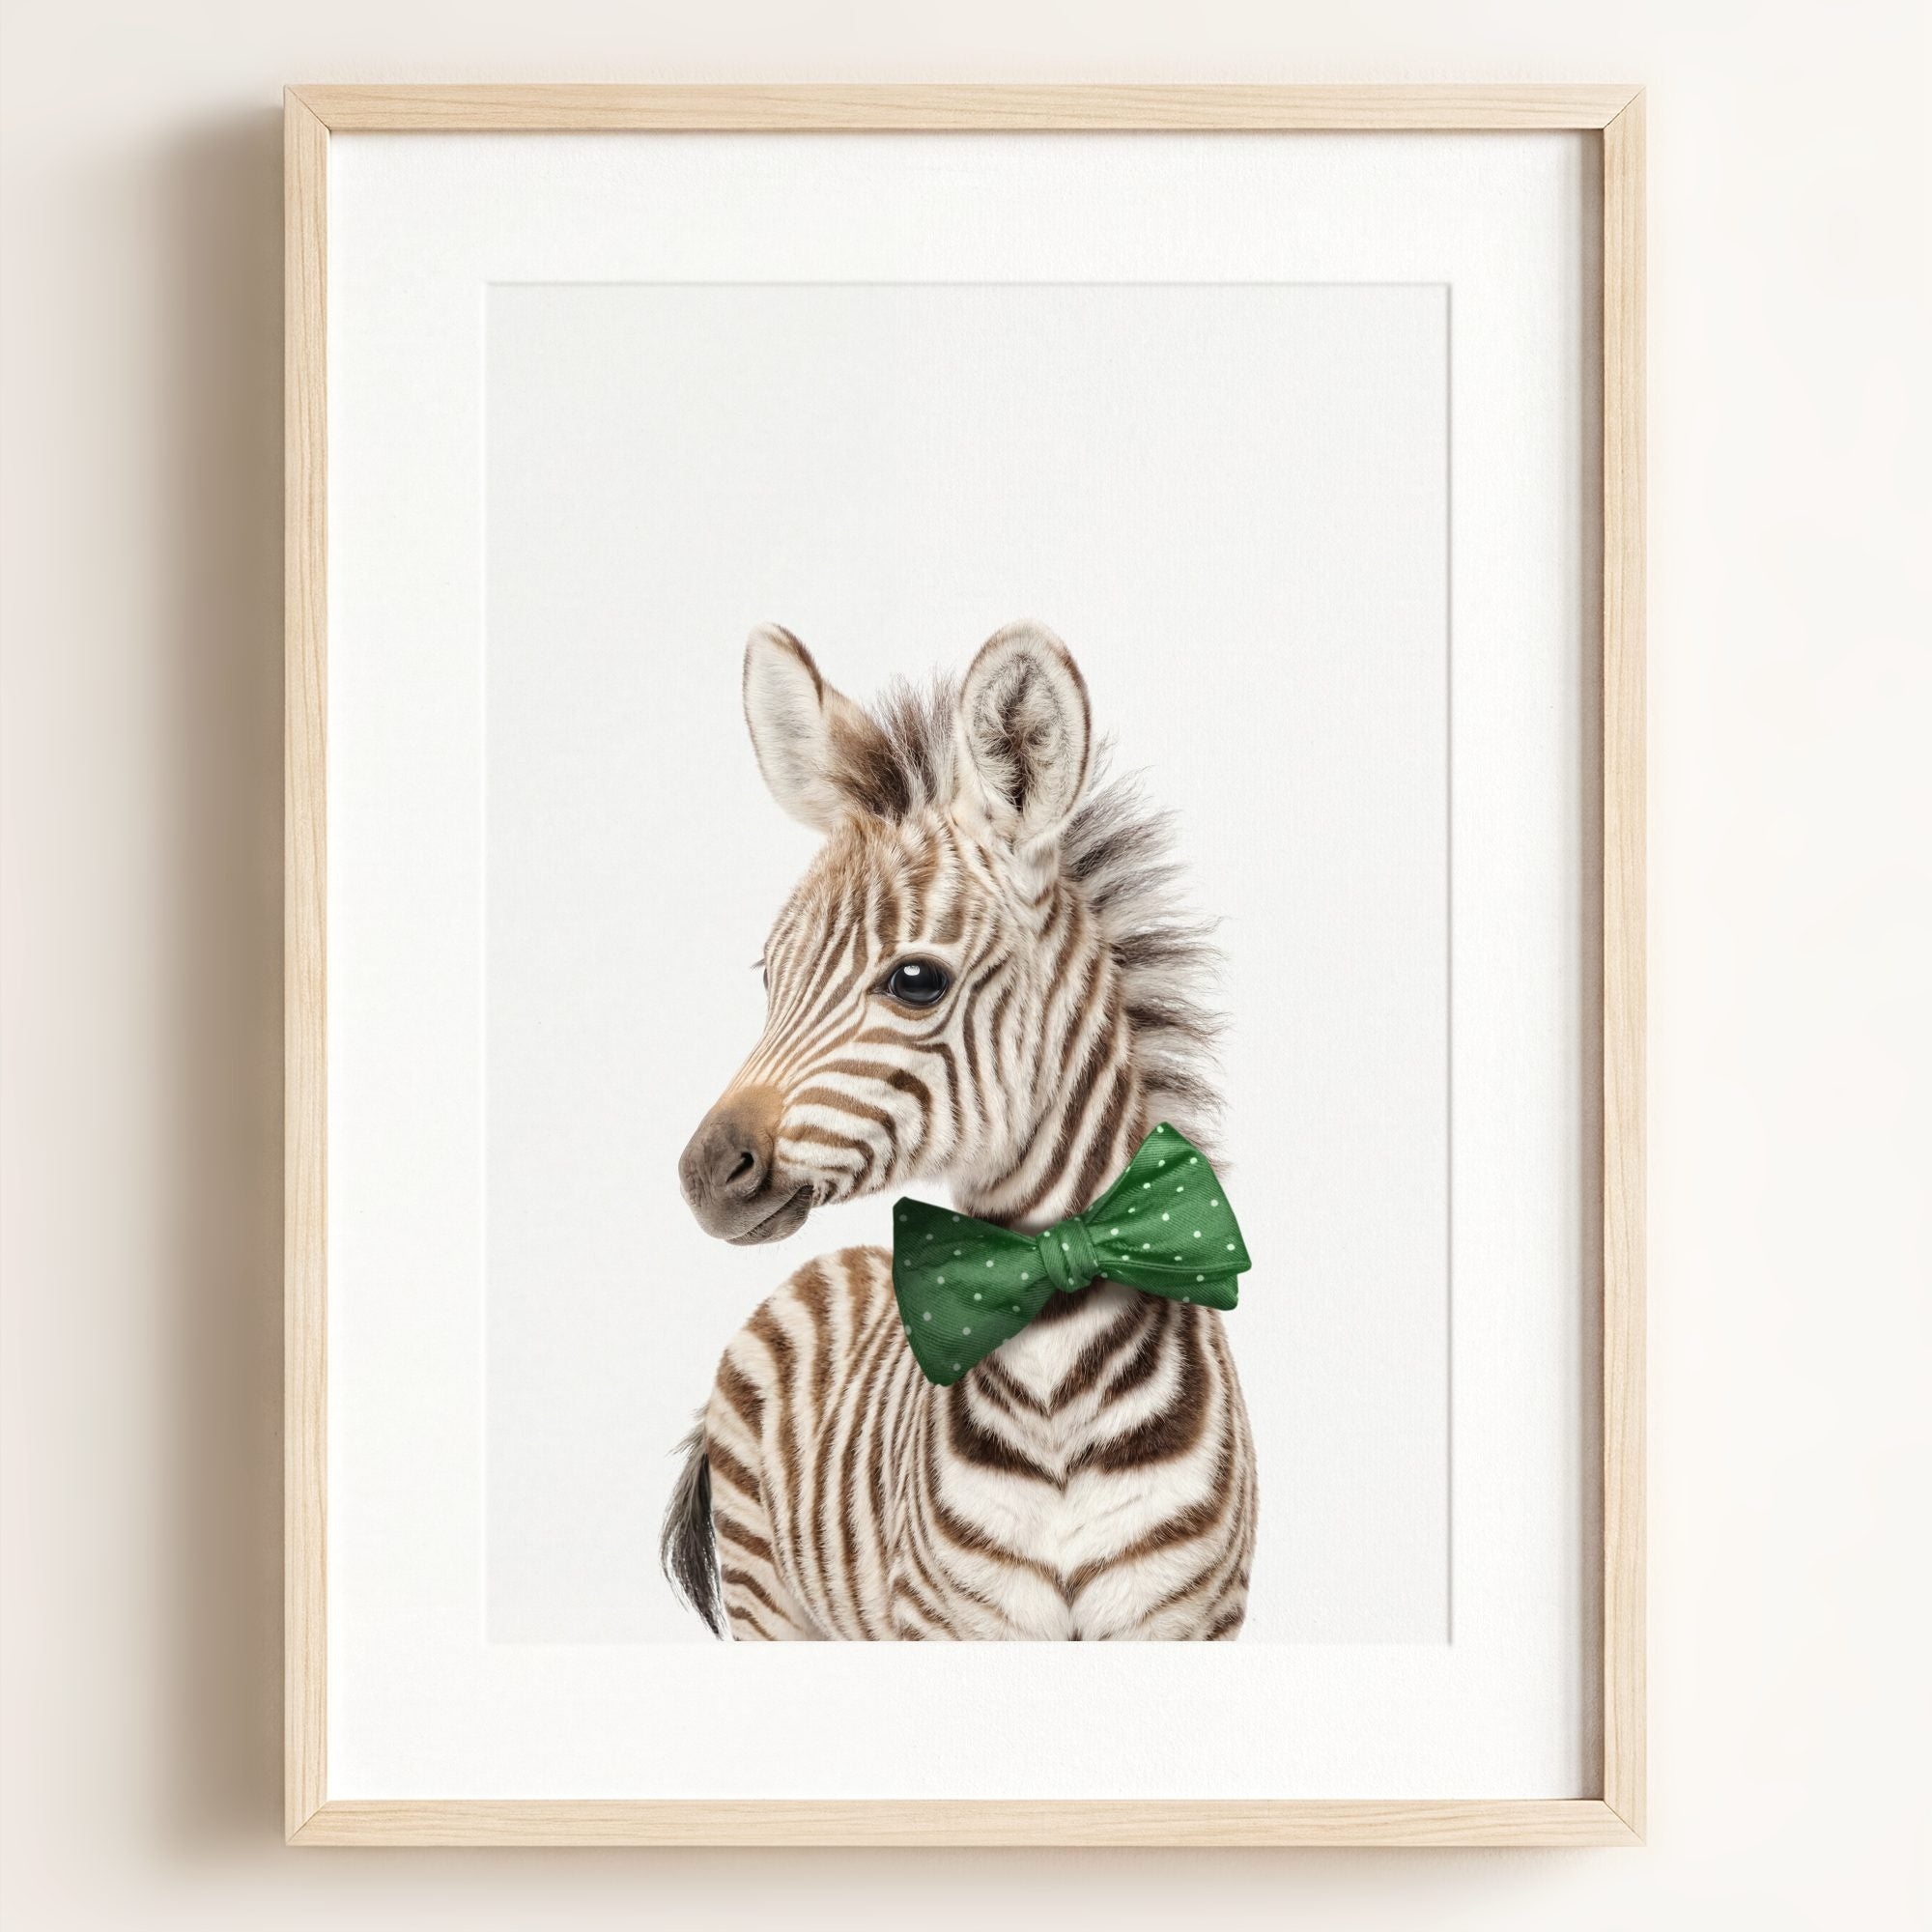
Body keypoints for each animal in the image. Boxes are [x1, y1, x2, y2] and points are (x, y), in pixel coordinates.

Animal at [662, 619, 1257, 1640]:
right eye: (770, 975)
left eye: (916, 981)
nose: (705, 1172)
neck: (1057, 1380)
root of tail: (828, 1266)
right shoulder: (951, 1624)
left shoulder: (1189, 1621)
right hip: (768, 1599)